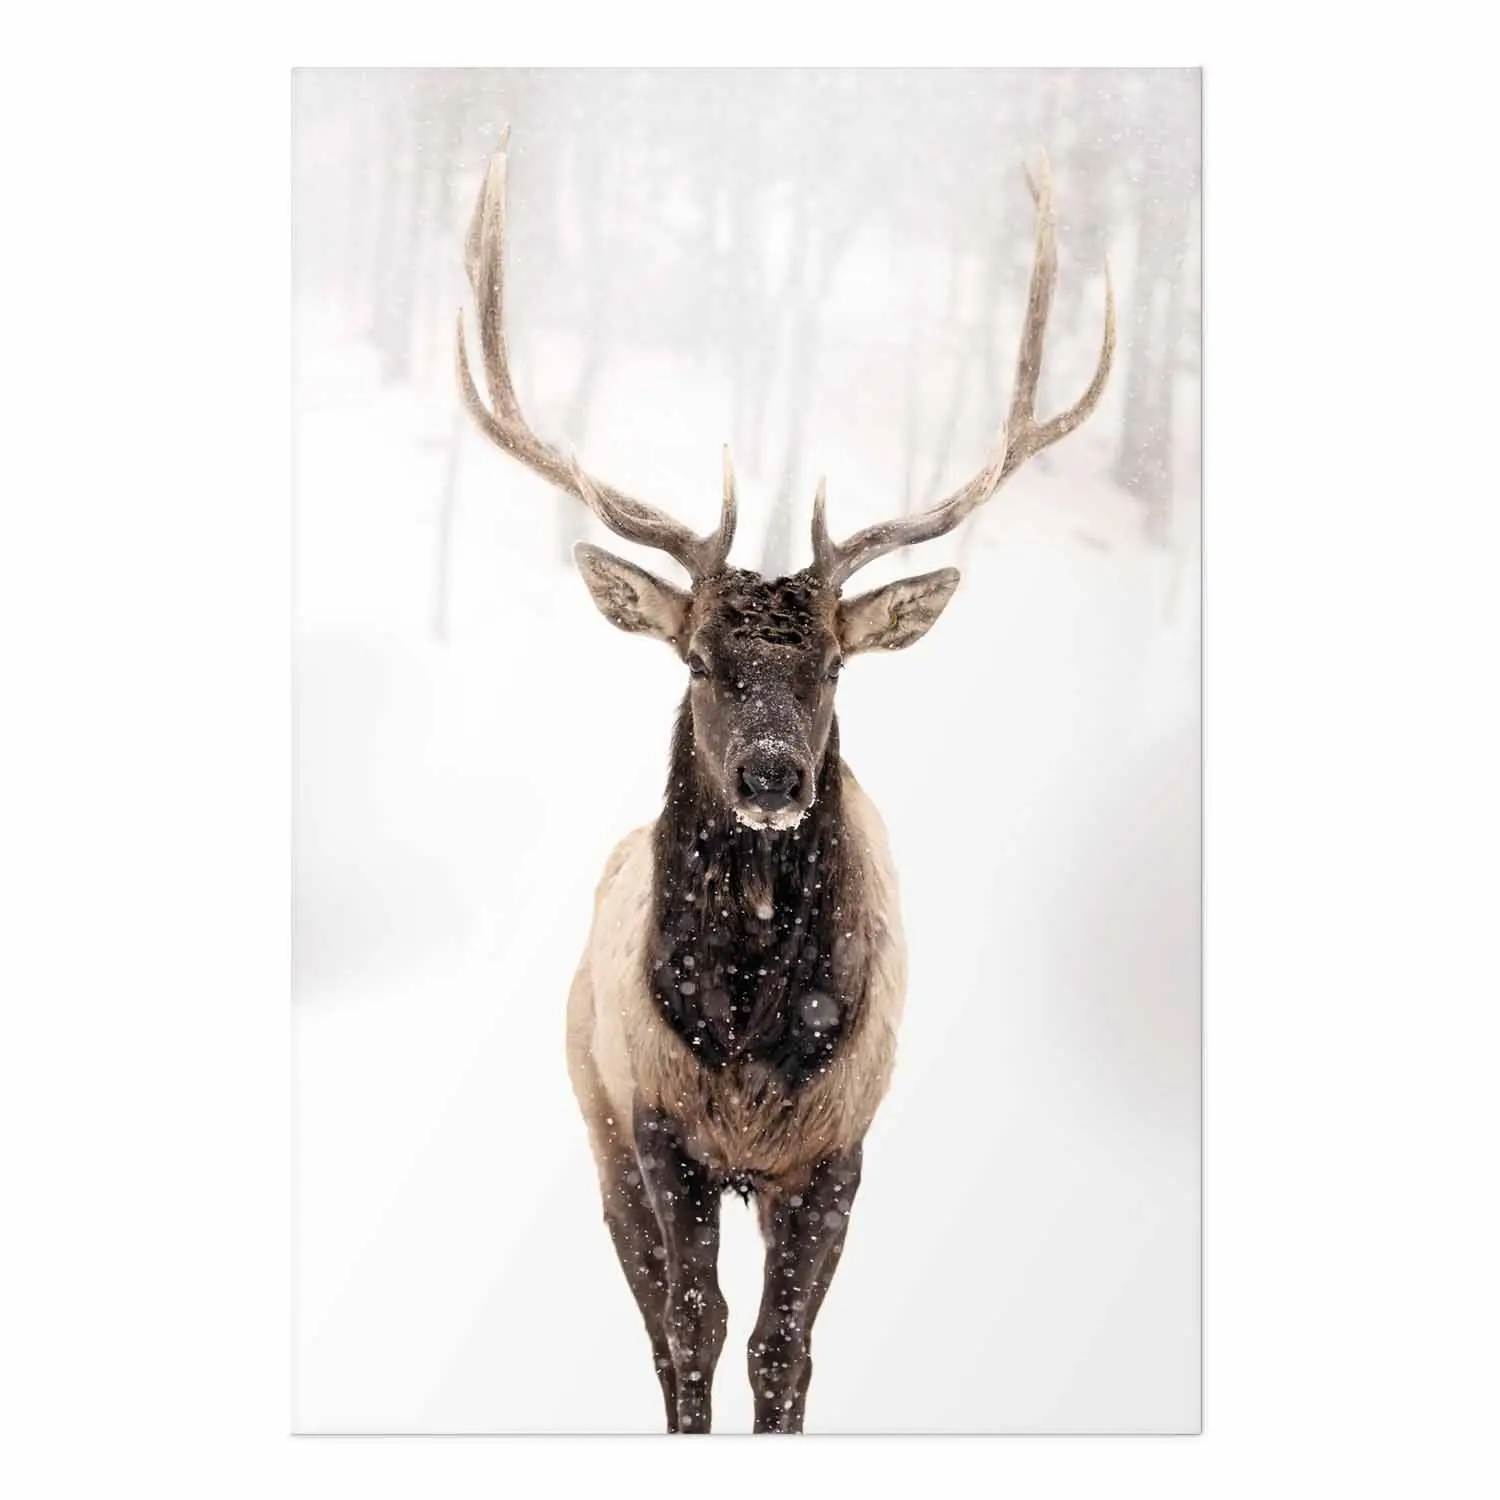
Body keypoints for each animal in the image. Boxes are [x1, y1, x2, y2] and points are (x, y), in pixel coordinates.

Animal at [456, 131, 1115, 1434]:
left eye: (830, 664)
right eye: (701, 659)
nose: (769, 771)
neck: (757, 1042)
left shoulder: (836, 1146)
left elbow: (783, 1351)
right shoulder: (659, 1126)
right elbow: (694, 1328)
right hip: (596, 1120)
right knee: (651, 1317)